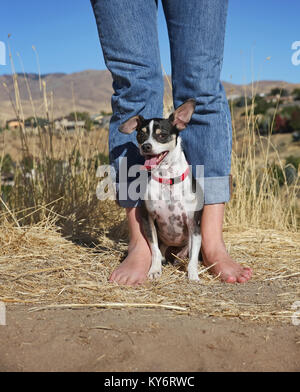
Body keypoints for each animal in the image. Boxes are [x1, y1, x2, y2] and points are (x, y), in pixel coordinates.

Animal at [119, 99, 204, 280]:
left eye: (162, 135)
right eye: (140, 135)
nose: (146, 146)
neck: (167, 179)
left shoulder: (194, 224)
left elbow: (193, 256)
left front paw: (193, 275)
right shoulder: (149, 220)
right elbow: (155, 250)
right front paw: (154, 270)